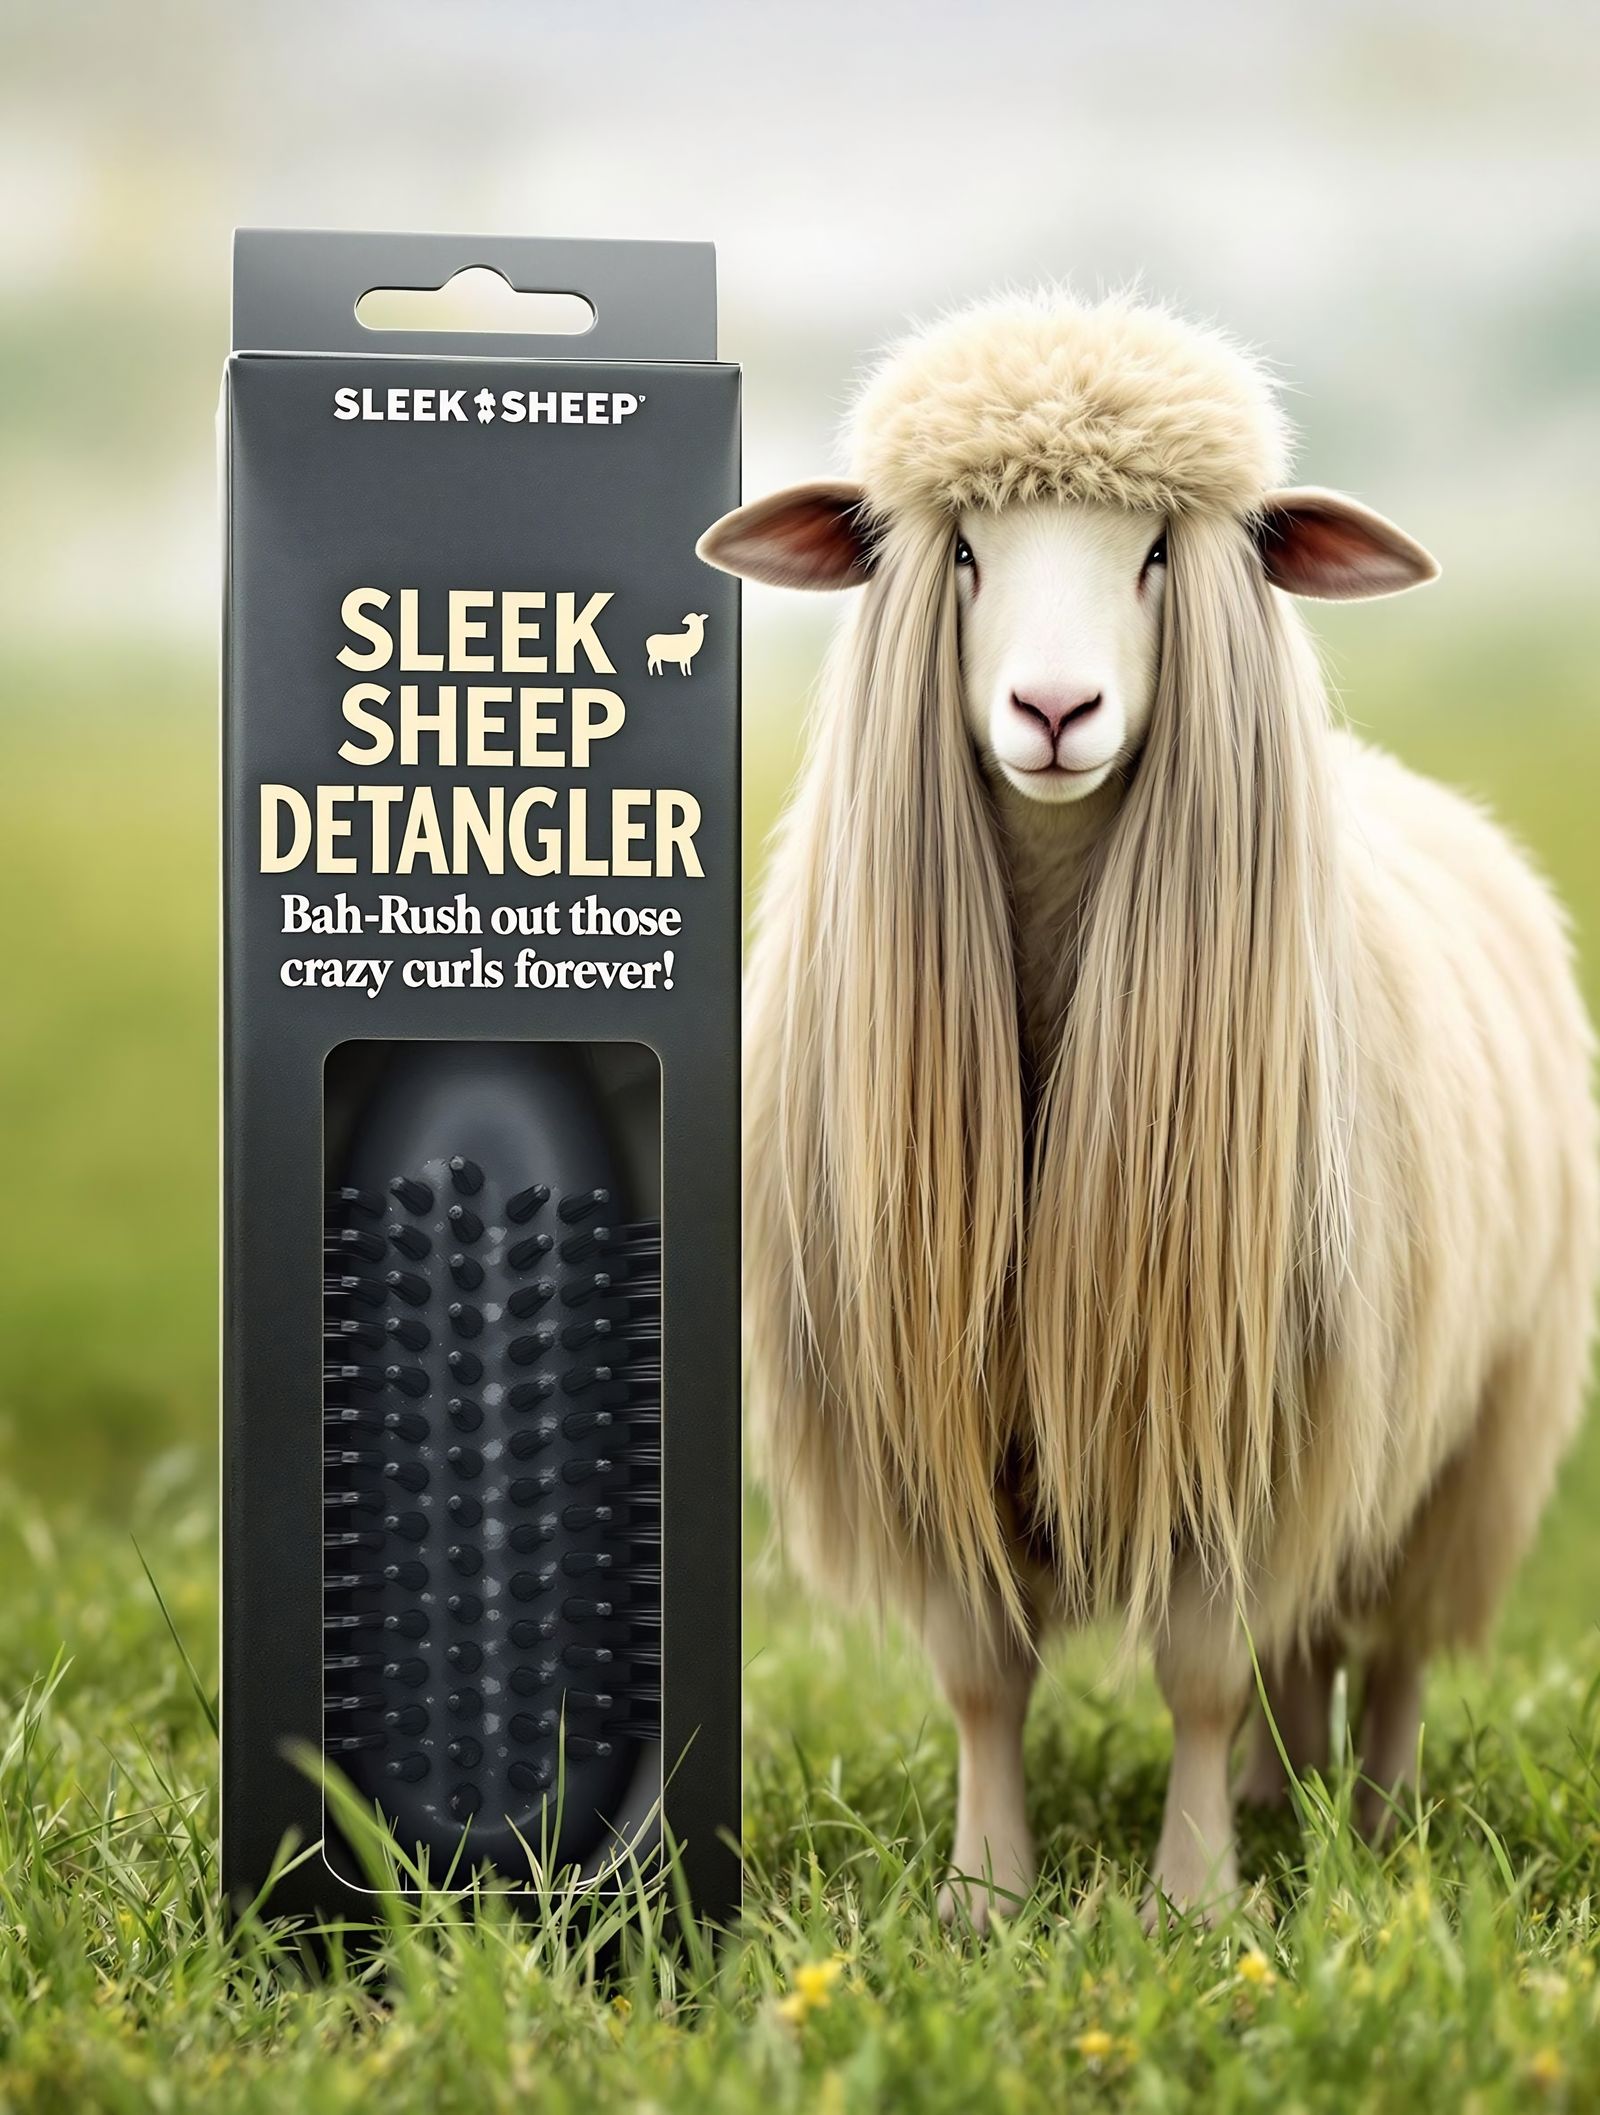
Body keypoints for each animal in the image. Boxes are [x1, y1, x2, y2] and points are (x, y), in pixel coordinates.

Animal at [698, 291, 1598, 1928]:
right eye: (964, 551)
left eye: (1160, 555)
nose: (1055, 710)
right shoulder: (937, 1420)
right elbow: (983, 1676)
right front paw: (984, 1897)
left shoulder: (1250, 1403)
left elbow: (1195, 1672)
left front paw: (1191, 1902)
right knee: (1311, 1645)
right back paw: (1282, 1798)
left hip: (1469, 1436)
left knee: (1388, 1649)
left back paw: (1372, 1827)